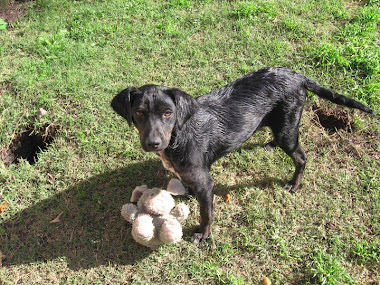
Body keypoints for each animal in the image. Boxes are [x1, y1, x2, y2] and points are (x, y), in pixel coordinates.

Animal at [111, 66, 376, 242]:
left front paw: (203, 235)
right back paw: (270, 145)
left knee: (302, 157)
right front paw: (187, 194)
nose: (153, 143)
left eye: (168, 113)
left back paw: (294, 183)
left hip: (288, 130)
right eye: (139, 113)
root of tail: (297, 75)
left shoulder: (206, 182)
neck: (178, 135)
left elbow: (207, 213)